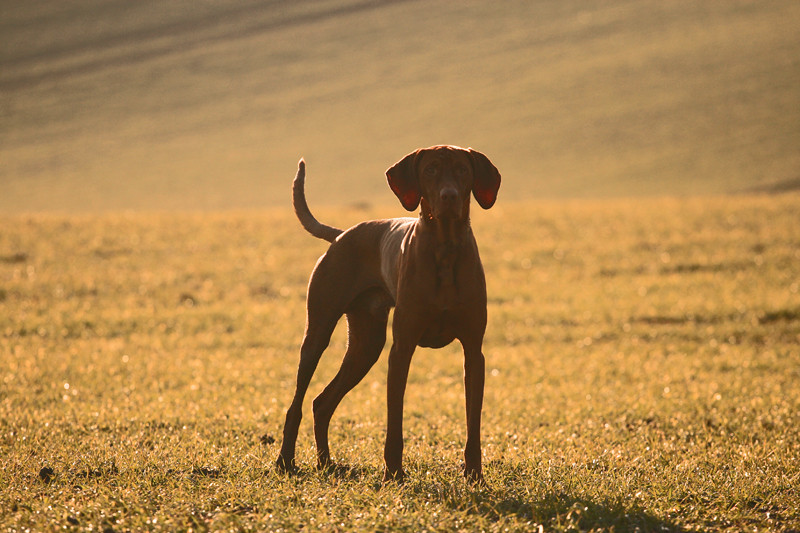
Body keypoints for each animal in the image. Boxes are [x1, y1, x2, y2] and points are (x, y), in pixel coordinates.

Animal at [276, 142, 500, 482]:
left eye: (463, 170)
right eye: (430, 169)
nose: (449, 196)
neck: (445, 248)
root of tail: (341, 234)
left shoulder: (474, 353)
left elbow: (473, 422)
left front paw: (474, 474)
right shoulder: (401, 349)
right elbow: (395, 421)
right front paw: (393, 473)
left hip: (365, 347)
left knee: (321, 403)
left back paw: (326, 463)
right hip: (318, 334)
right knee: (298, 402)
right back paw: (285, 461)